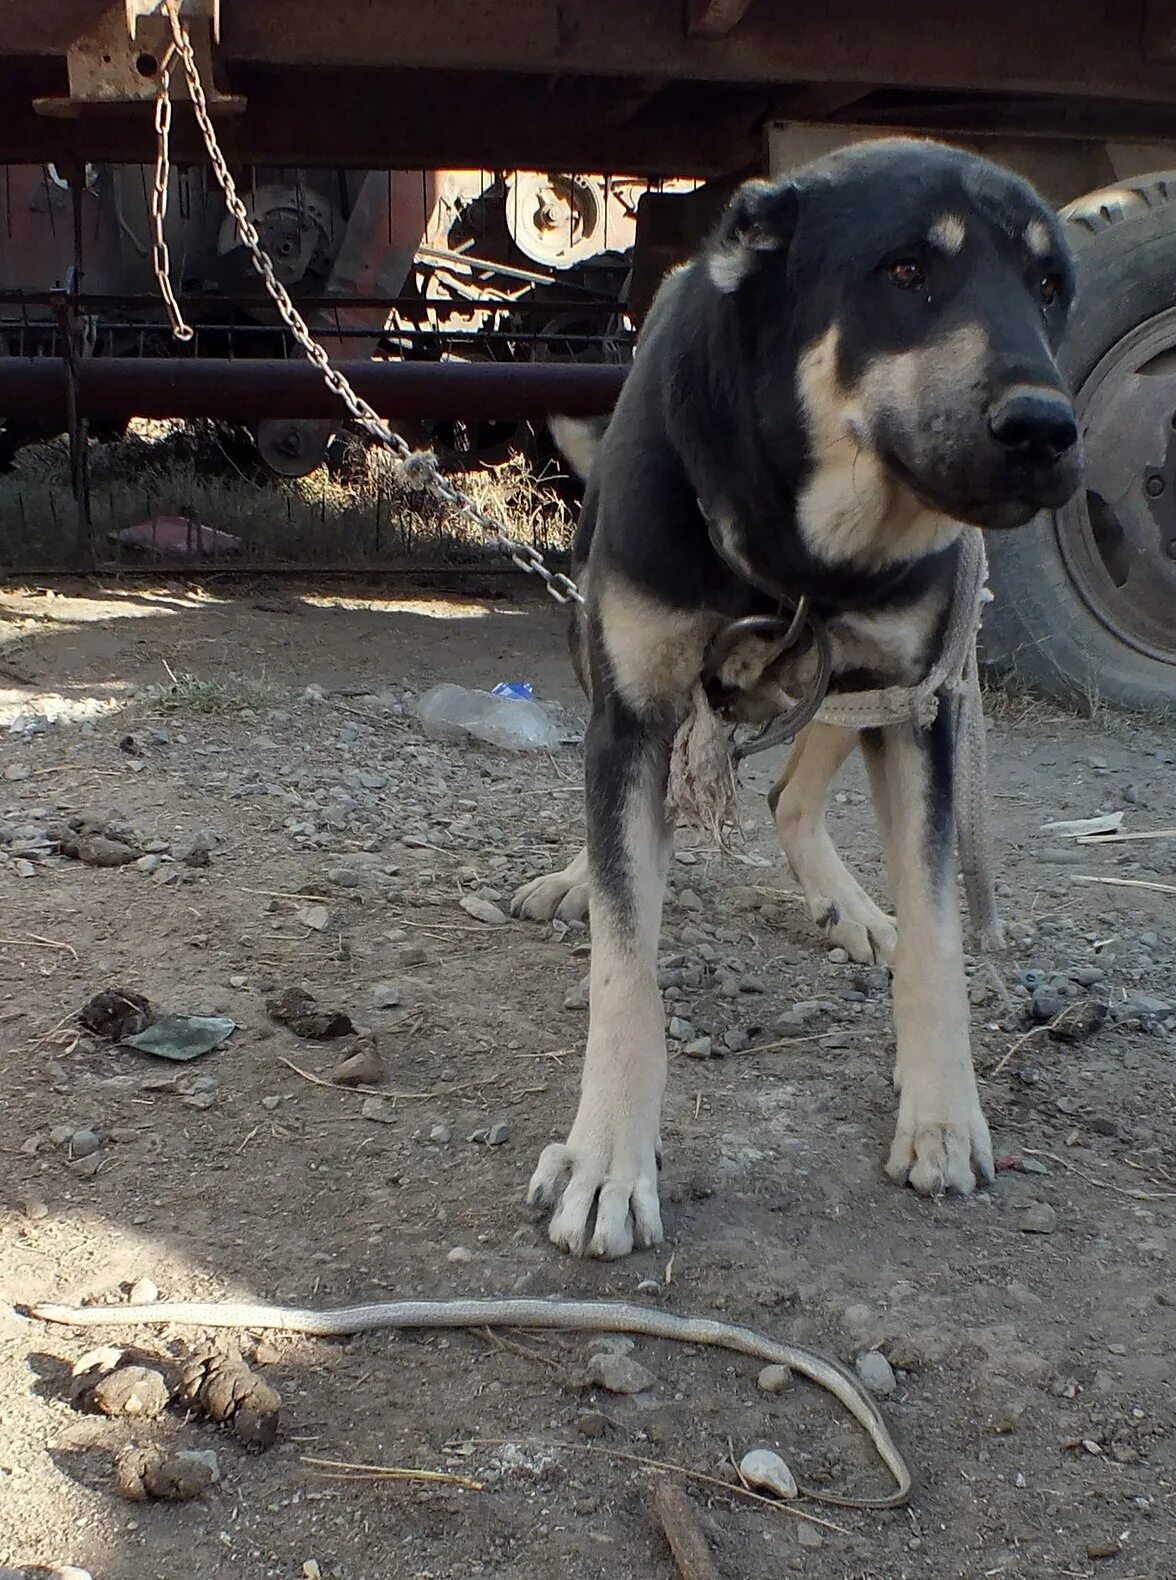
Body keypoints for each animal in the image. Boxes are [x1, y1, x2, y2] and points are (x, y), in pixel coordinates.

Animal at [508, 142, 1081, 1264]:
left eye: (1050, 287)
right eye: (907, 271)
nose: (1047, 428)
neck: (805, 541)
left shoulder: (921, 702)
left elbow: (940, 932)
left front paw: (943, 1114)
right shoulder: (636, 712)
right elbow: (625, 964)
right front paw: (607, 1163)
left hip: (857, 683)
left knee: (792, 797)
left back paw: (851, 906)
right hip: (597, 651)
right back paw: (579, 876)